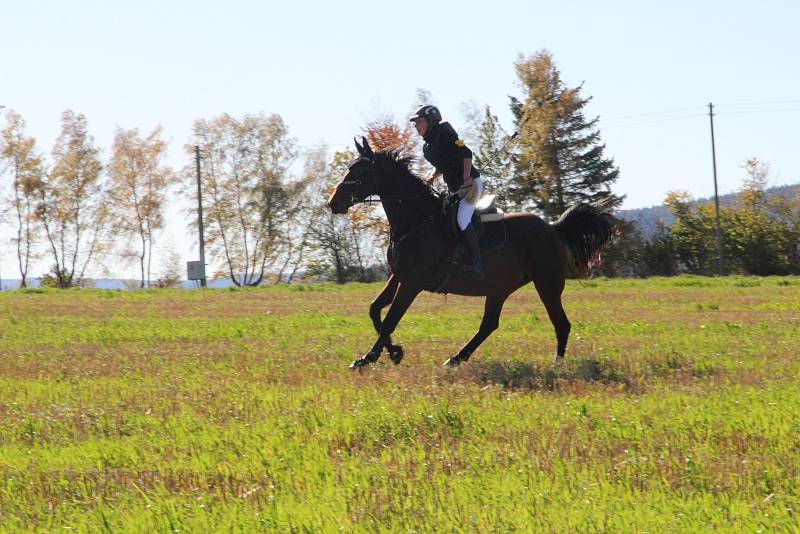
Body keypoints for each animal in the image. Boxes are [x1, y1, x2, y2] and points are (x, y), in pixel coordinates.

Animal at [328, 138, 616, 370]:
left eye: (362, 171)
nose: (334, 202)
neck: (416, 221)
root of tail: (554, 227)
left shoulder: (412, 283)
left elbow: (390, 319)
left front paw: (376, 356)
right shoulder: (398, 276)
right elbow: (375, 310)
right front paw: (388, 353)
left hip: (547, 284)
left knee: (561, 323)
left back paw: (556, 365)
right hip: (500, 287)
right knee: (489, 324)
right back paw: (456, 358)